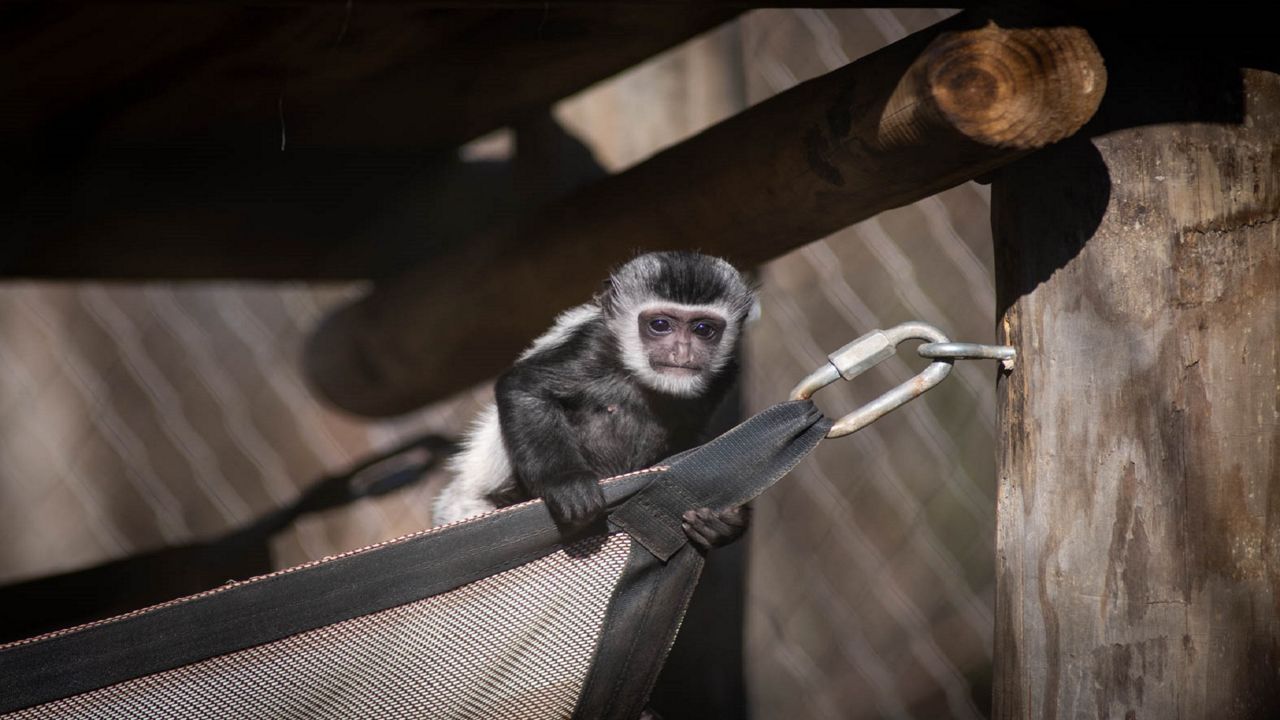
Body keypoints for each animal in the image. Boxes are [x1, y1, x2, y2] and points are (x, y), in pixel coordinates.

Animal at [437, 249, 757, 545]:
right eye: (660, 325)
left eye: (703, 329)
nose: (681, 353)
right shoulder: (593, 347)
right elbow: (525, 388)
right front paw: (568, 483)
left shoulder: (723, 377)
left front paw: (724, 521)